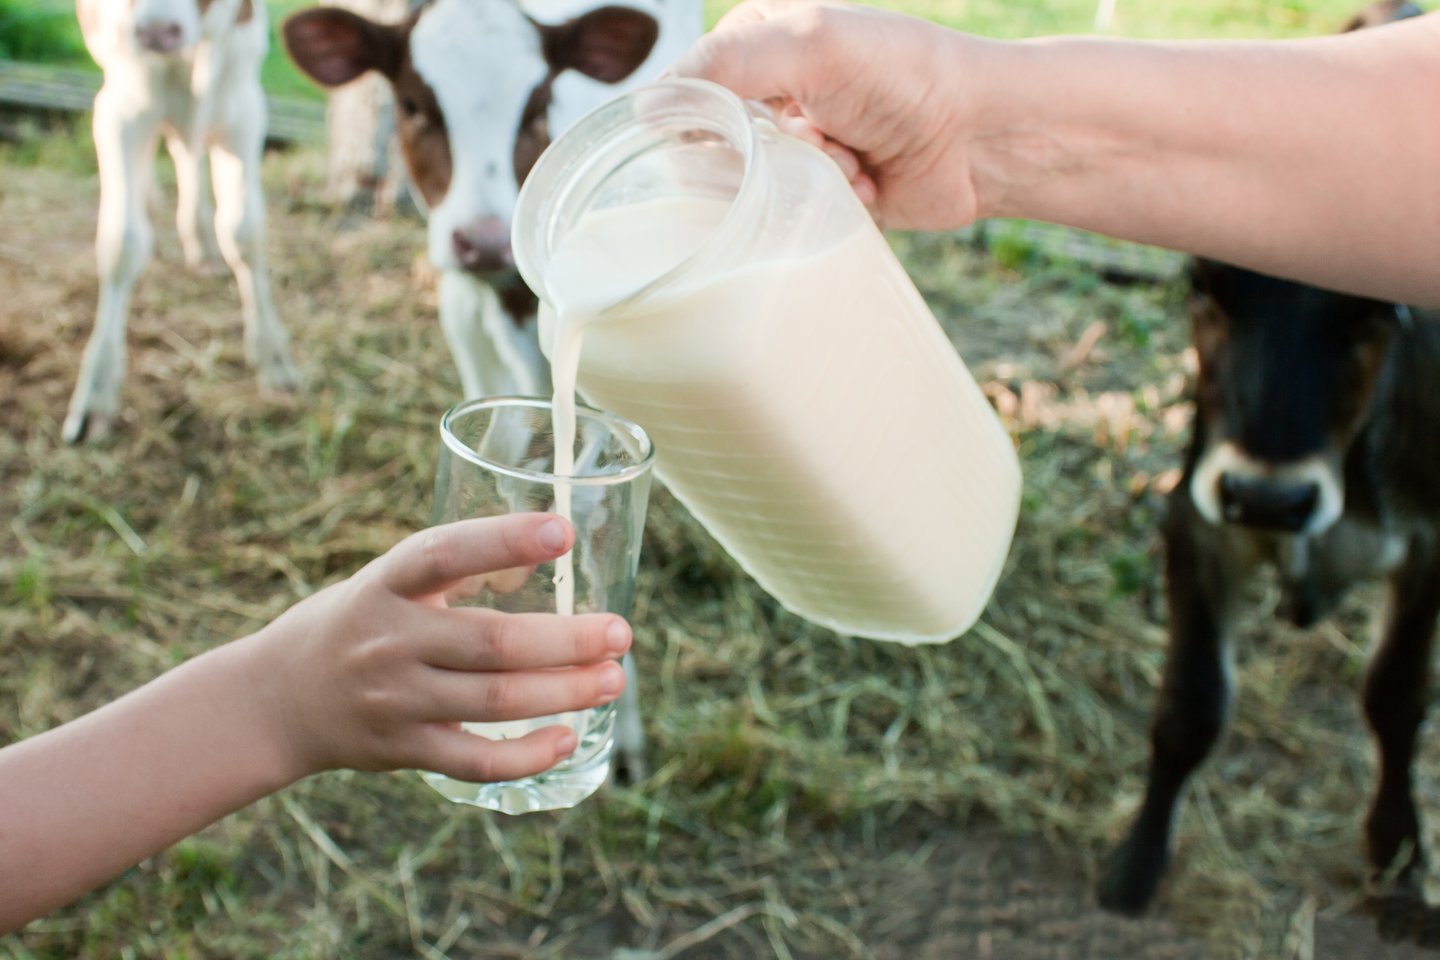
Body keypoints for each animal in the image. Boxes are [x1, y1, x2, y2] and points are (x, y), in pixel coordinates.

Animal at [66, 0, 300, 446]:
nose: (157, 33)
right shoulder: (119, 111)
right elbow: (122, 242)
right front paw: (97, 390)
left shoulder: (243, 109)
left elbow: (244, 232)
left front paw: (273, 356)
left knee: (185, 151)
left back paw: (203, 244)